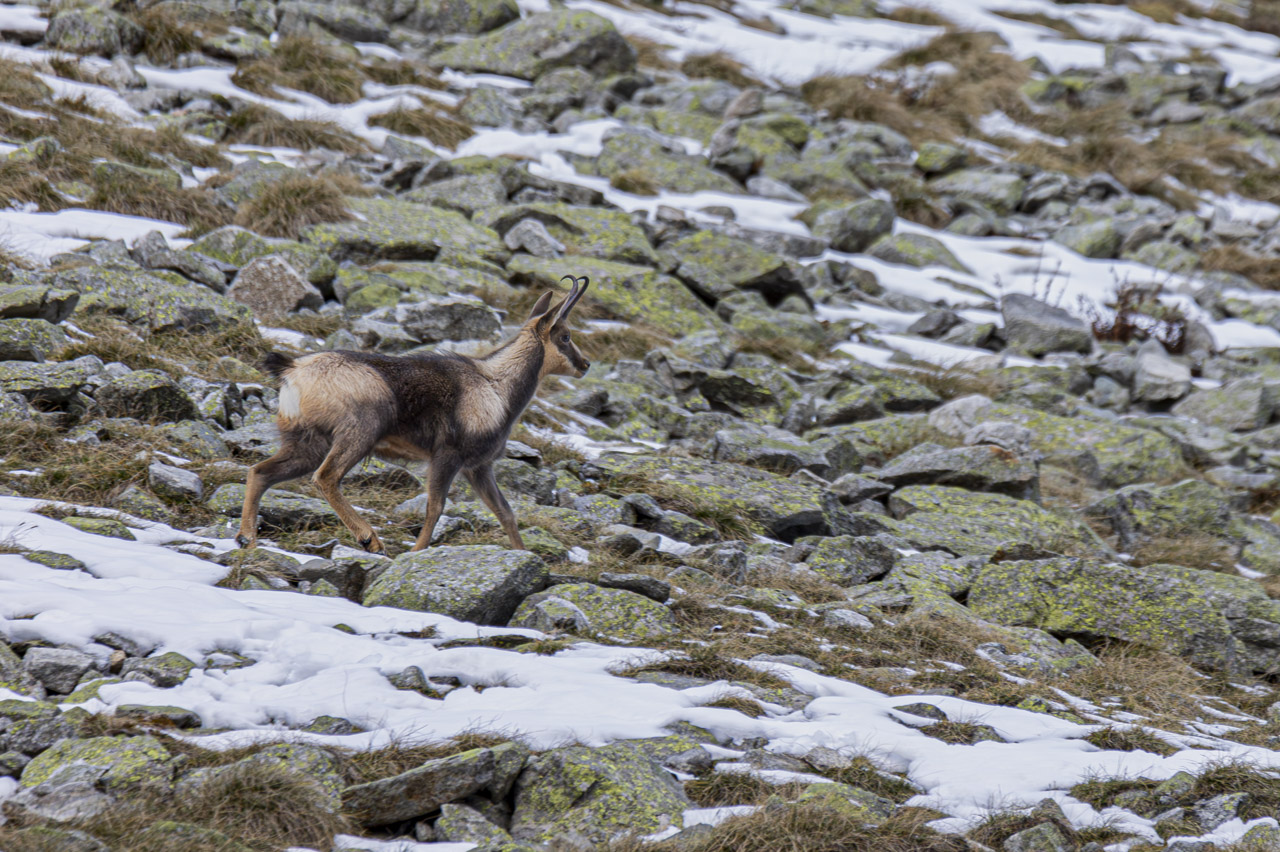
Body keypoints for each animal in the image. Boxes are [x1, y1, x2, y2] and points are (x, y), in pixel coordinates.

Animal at [235, 276, 591, 555]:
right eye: (565, 336)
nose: (585, 364)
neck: (496, 387)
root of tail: (292, 370)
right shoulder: (448, 455)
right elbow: (436, 506)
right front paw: (418, 551)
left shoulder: (478, 467)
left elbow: (504, 511)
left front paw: (523, 554)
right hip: (360, 430)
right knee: (326, 477)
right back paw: (370, 539)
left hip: (306, 440)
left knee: (261, 472)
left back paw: (246, 538)